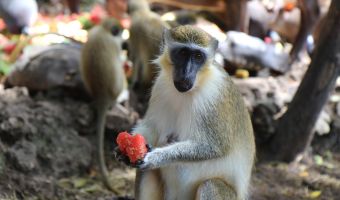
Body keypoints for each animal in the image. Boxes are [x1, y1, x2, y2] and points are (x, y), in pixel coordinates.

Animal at [80, 18, 125, 192]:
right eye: (119, 31)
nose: (123, 33)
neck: (102, 29)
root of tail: (102, 97)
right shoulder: (115, 44)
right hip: (116, 90)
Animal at [117, 25, 255, 200]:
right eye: (182, 53)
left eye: (198, 56)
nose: (186, 72)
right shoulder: (160, 85)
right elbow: (152, 128)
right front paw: (125, 147)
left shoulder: (213, 96)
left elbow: (214, 146)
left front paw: (155, 157)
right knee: (145, 172)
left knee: (210, 185)